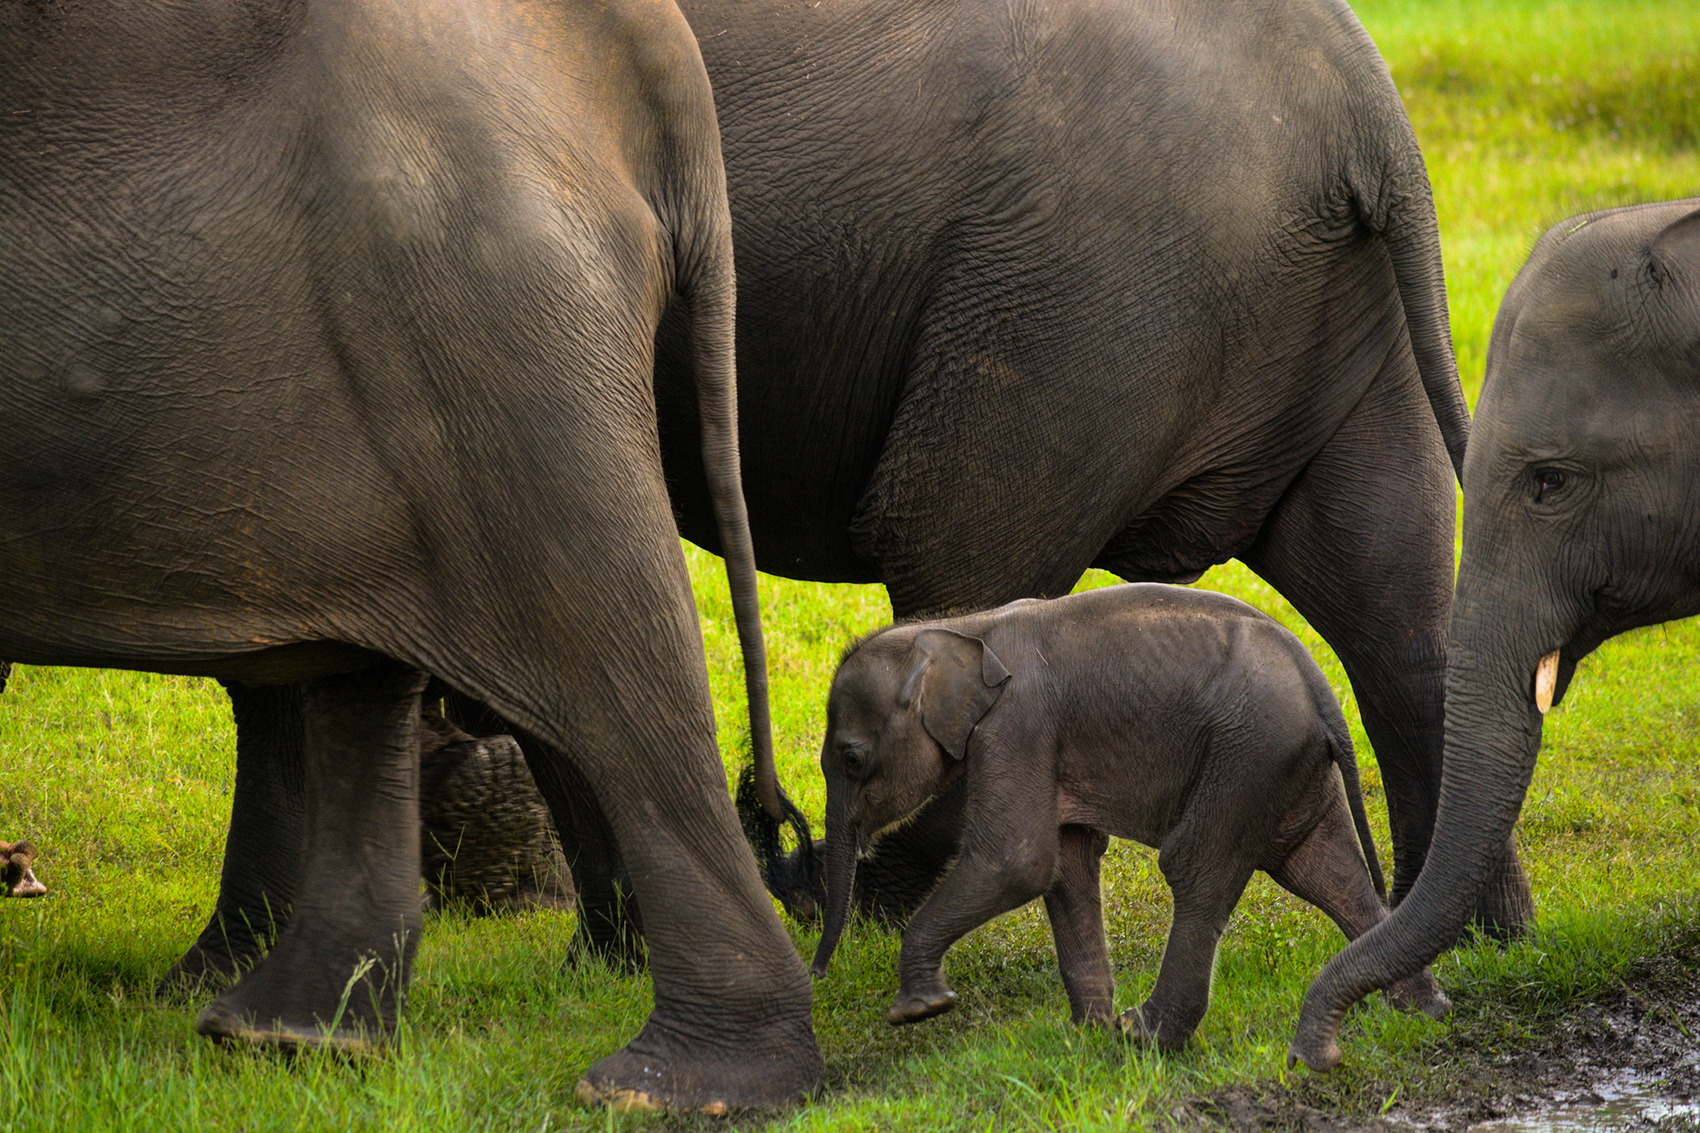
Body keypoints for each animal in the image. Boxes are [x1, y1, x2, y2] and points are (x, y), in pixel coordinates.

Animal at [0, 0, 819, 1109]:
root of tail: (649, 48)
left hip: (485, 309)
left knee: (606, 637)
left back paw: (667, 1086)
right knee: (371, 664)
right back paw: (294, 1036)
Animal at [652, 0, 1530, 932]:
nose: (769, 820)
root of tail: (1374, 121)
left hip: (1076, 303)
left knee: (960, 564)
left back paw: (842, 903)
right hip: (1321, 305)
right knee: (1393, 599)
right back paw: (1475, 933)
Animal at [809, 581, 1448, 1047]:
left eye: (852, 758)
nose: (817, 980)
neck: (960, 631)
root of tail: (1318, 686)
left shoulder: (1019, 724)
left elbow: (1016, 861)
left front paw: (920, 1010)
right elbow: (1065, 862)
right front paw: (1087, 1036)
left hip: (1249, 753)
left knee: (1197, 867)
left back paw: (1147, 1036)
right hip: (1286, 765)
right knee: (1327, 873)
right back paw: (1422, 1014)